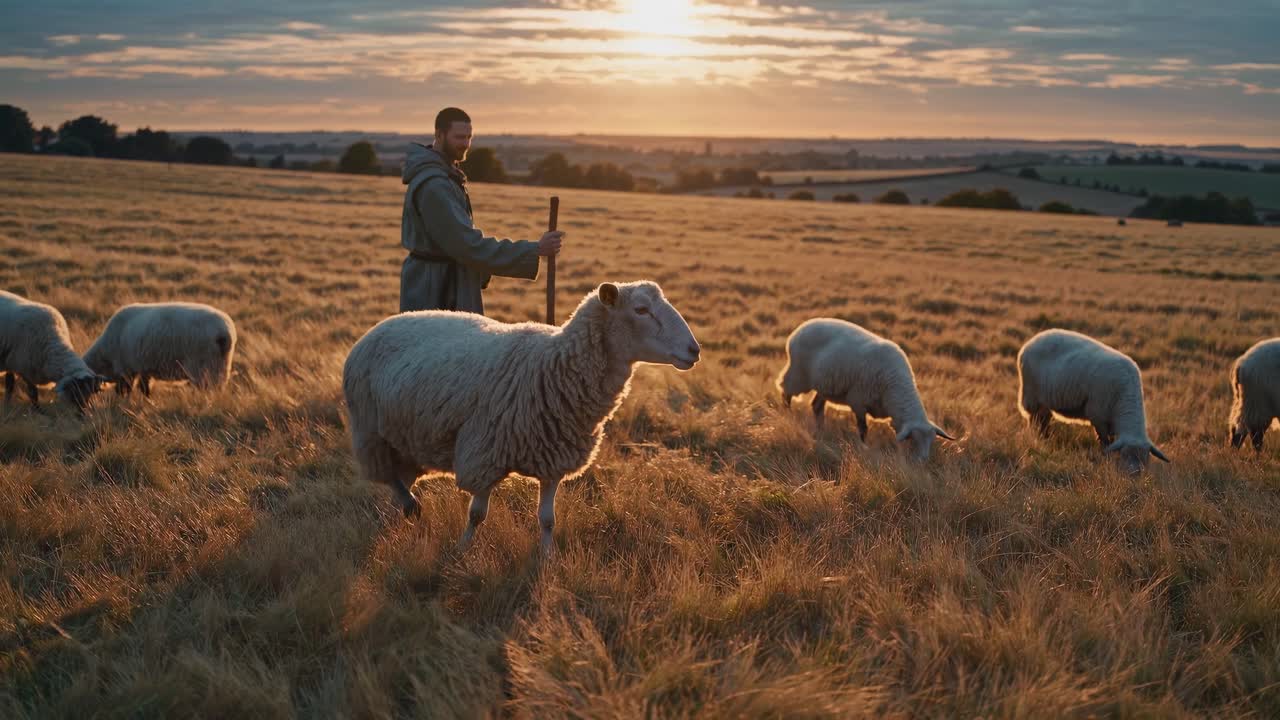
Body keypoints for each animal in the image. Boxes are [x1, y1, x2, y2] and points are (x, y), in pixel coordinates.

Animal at [83, 302, 236, 396]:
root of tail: (224, 333)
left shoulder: (126, 369)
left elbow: (124, 390)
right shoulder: (143, 369)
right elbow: (144, 389)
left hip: (204, 368)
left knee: (208, 390)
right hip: (221, 367)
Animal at [342, 281, 700, 554]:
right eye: (641, 310)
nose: (694, 350)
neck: (551, 366)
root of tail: (383, 324)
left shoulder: (554, 458)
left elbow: (547, 519)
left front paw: (546, 557)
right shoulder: (484, 453)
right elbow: (477, 514)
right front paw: (463, 548)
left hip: (408, 440)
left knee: (398, 480)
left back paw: (398, 514)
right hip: (369, 430)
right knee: (387, 476)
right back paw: (410, 505)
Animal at [776, 318, 955, 460]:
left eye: (931, 441)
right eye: (913, 439)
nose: (923, 461)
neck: (895, 385)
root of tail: (800, 329)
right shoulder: (858, 401)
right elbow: (863, 428)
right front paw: (863, 448)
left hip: (824, 385)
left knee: (816, 406)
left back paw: (820, 431)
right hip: (799, 375)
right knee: (786, 391)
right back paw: (788, 415)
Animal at [1017, 328, 1169, 472]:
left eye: (1145, 458)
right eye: (1125, 454)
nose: (1134, 474)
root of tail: (1032, 341)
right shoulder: (1098, 415)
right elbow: (1105, 442)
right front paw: (1107, 459)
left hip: (1045, 400)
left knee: (1044, 418)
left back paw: (1045, 438)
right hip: (1031, 395)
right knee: (1034, 420)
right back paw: (1037, 438)